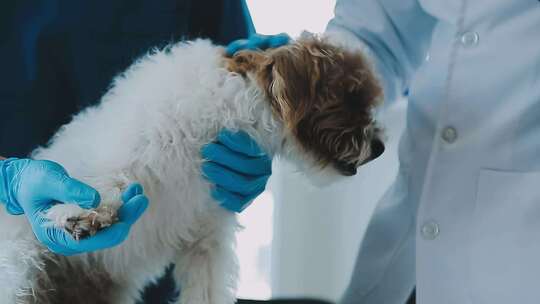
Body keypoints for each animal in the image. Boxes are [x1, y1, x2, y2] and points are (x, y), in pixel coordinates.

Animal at [0, 33, 384, 304]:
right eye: (351, 96)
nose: (380, 148)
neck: (224, 117)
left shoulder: (207, 240)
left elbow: (207, 292)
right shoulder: (125, 152)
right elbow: (107, 182)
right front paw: (86, 214)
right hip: (20, 268)